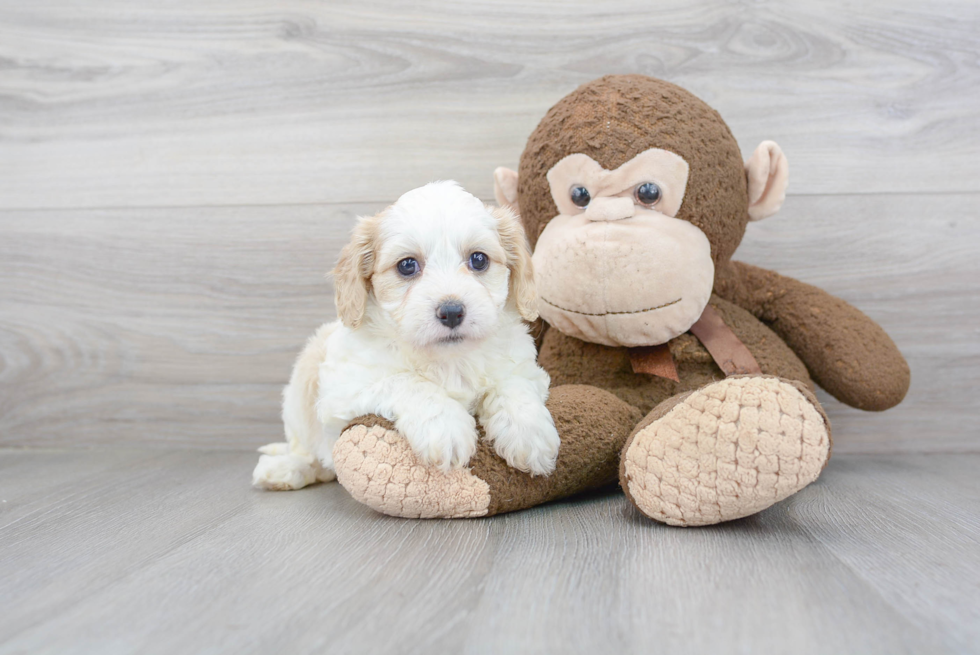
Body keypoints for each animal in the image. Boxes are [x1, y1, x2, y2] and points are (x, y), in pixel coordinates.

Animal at [253, 182, 560, 490]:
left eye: (479, 259)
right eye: (407, 265)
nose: (451, 311)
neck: (449, 360)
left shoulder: (523, 367)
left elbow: (513, 384)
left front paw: (528, 432)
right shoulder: (344, 388)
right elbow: (407, 382)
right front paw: (445, 427)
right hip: (300, 389)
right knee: (308, 453)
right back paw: (283, 470)